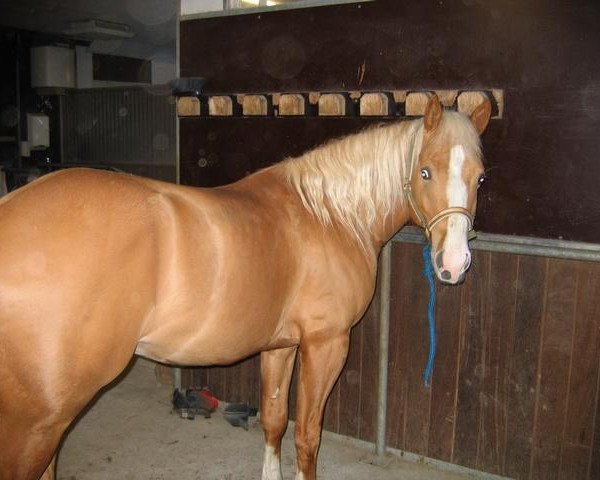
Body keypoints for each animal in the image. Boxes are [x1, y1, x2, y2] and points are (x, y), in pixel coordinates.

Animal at [0, 94, 488, 480]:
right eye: (425, 172)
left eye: (481, 176)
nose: (453, 264)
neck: (330, 216)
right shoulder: (326, 345)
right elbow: (307, 436)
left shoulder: (281, 347)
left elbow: (274, 421)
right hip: (41, 422)